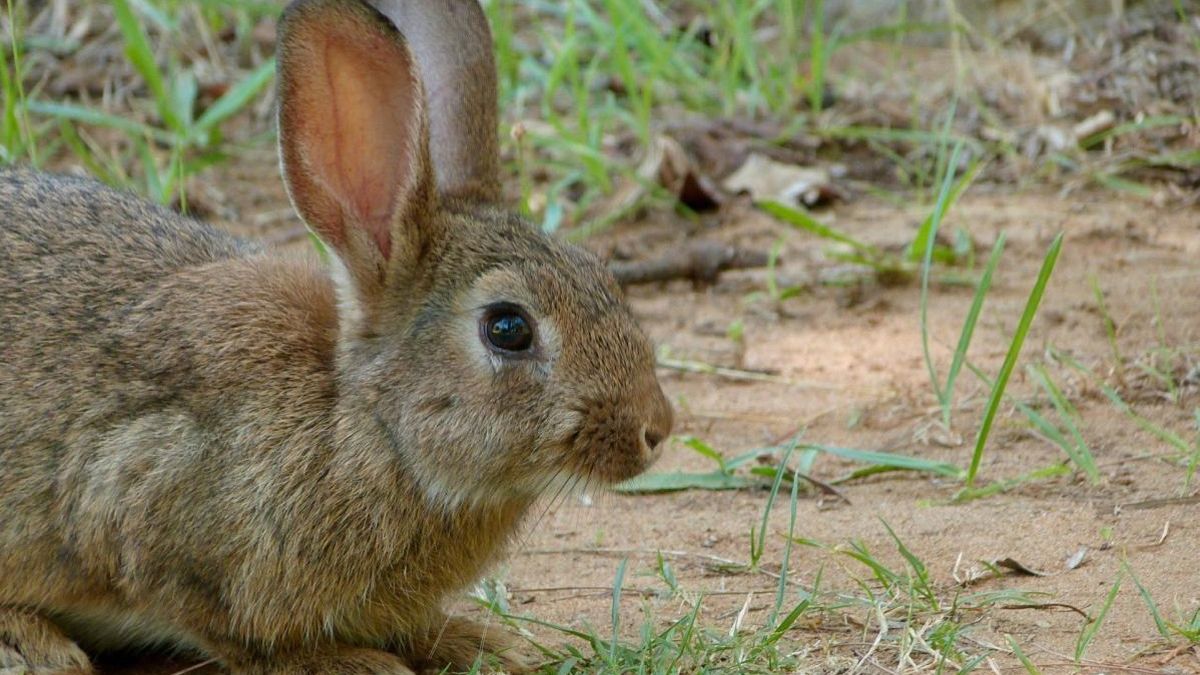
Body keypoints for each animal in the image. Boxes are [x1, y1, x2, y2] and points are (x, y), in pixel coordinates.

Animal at [0, 0, 674, 672]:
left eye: (599, 272)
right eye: (508, 328)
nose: (656, 428)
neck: (366, 424)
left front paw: (479, 643)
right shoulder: (138, 497)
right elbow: (230, 631)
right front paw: (353, 662)